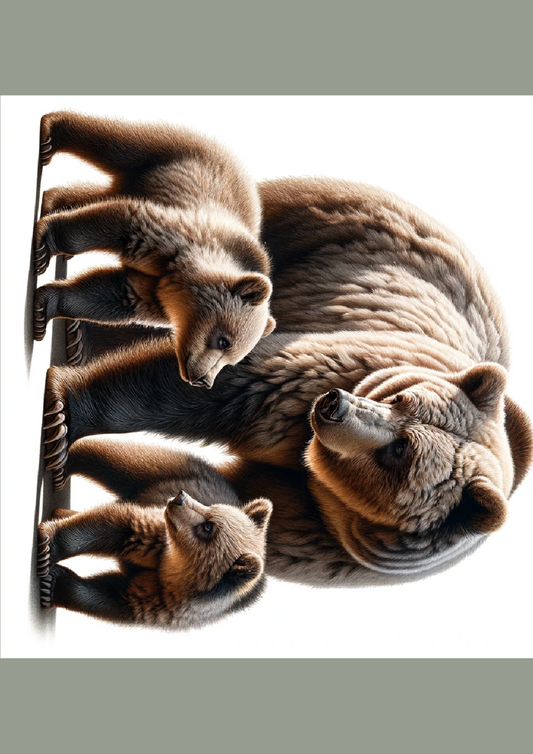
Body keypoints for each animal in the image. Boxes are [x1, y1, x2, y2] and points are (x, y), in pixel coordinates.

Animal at [33, 111, 276, 387]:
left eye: (232, 359)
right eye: (224, 341)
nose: (203, 380)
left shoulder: (155, 295)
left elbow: (109, 294)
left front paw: (44, 309)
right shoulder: (167, 237)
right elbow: (121, 220)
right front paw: (43, 249)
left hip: (146, 180)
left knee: (95, 193)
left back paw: (53, 200)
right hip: (175, 153)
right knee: (116, 142)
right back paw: (51, 133)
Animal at [37, 439, 272, 628]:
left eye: (208, 527)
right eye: (211, 507)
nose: (179, 497)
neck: (173, 567)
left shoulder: (169, 602)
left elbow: (116, 596)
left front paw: (54, 585)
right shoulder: (158, 533)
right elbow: (117, 526)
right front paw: (49, 549)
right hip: (175, 473)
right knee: (123, 460)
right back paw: (64, 457)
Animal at [41, 176, 532, 584]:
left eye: (399, 452)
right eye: (402, 400)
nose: (335, 406)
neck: (316, 475)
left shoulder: (319, 532)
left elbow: (218, 498)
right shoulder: (347, 368)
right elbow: (229, 388)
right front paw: (64, 421)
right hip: (296, 235)